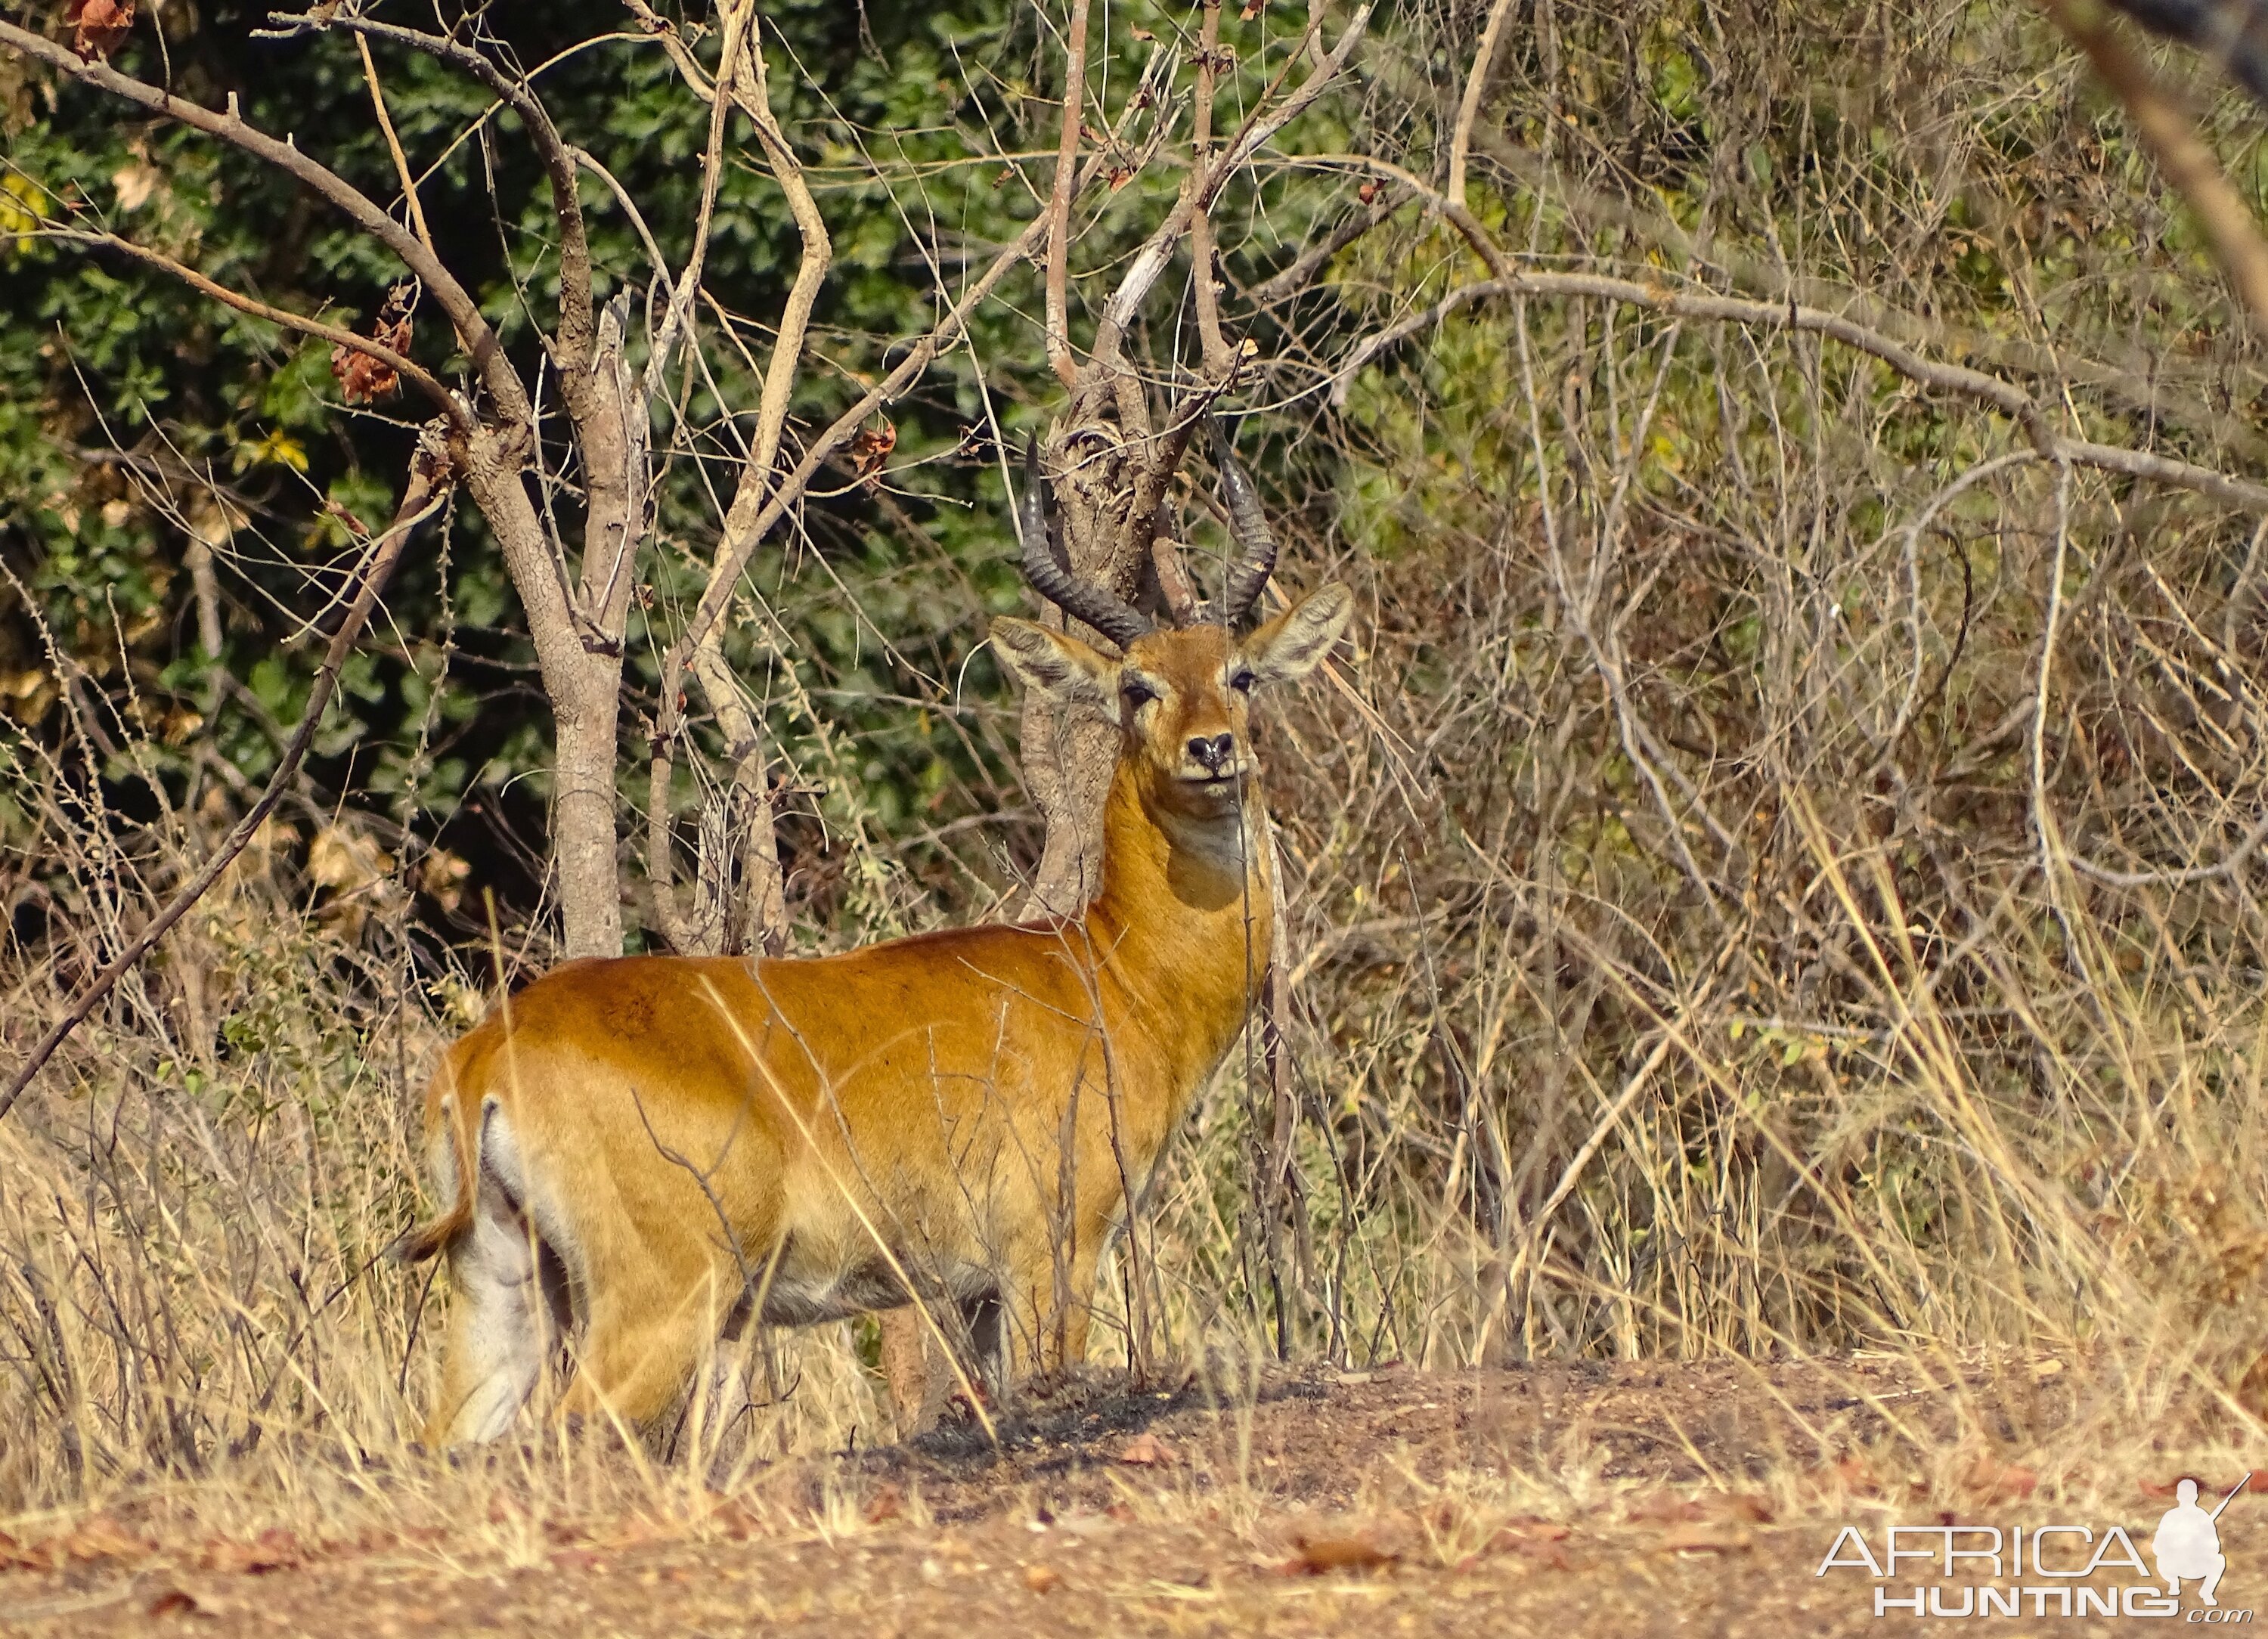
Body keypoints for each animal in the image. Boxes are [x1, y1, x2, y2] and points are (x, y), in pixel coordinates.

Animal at [399, 426, 1343, 1451]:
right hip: (661, 1302)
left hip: (503, 1288)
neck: (1107, 969)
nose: (1213, 748)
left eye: (1240, 671)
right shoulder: (1051, 1255)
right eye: (1138, 686)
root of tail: (488, 1055)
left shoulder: (973, 1292)